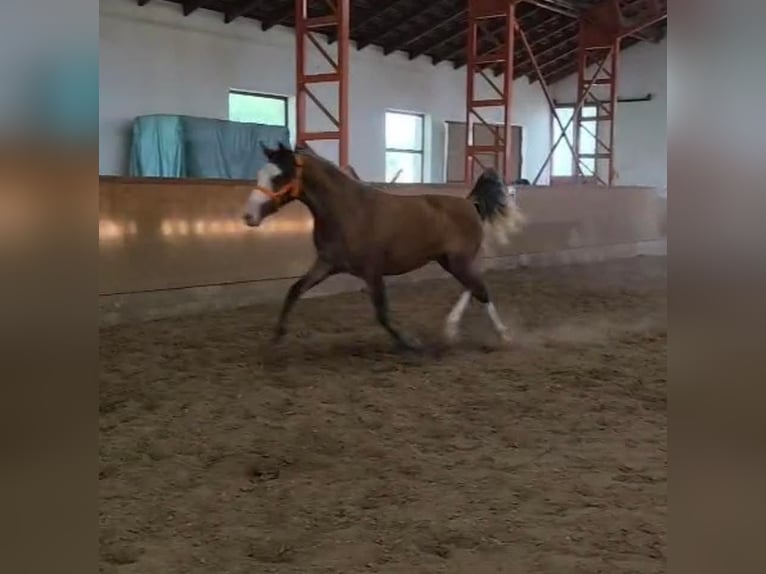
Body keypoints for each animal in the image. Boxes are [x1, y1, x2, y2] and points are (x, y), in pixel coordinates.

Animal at [242, 142, 526, 350]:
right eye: (259, 175)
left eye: (279, 176)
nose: (248, 216)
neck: (347, 210)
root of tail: (469, 203)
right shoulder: (326, 264)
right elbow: (294, 290)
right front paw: (277, 336)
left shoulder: (372, 271)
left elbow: (382, 313)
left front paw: (411, 342)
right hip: (450, 260)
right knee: (473, 287)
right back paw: (451, 329)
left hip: (458, 261)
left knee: (481, 290)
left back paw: (503, 335)